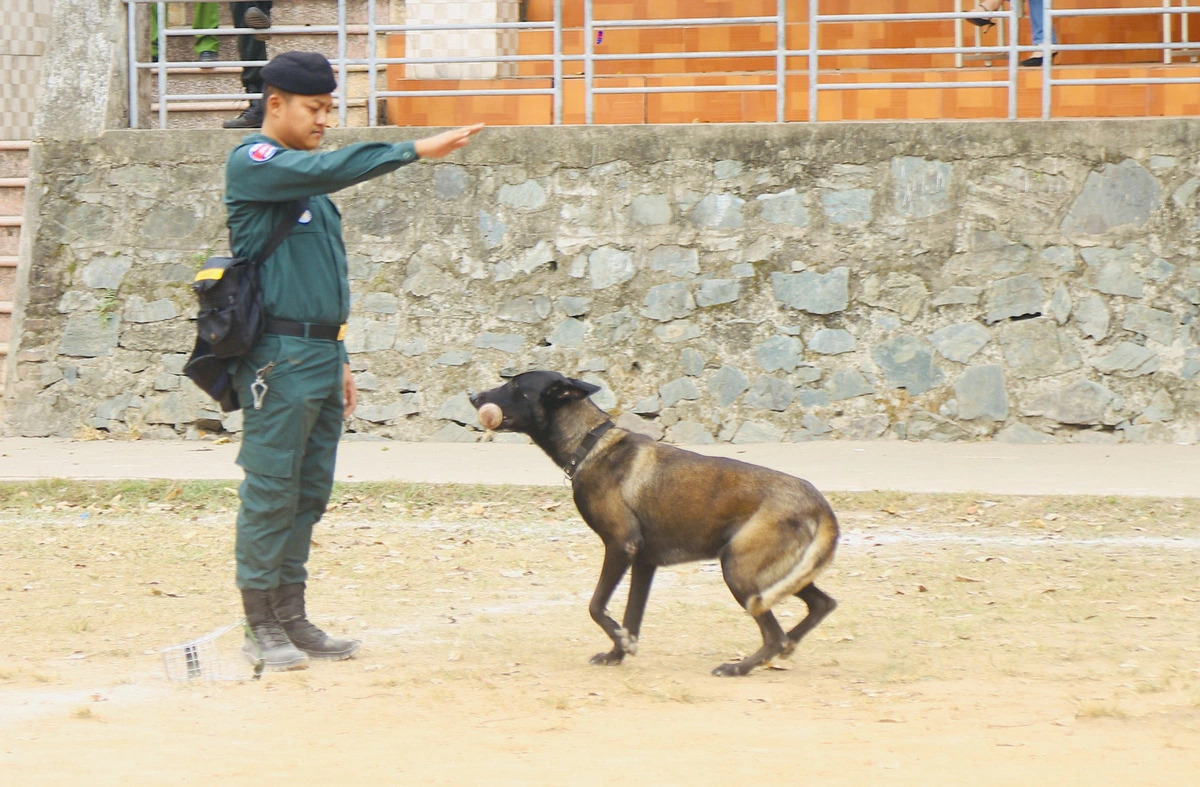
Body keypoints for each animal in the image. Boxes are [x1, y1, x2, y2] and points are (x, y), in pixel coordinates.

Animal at [463, 369, 840, 676]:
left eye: (515, 386)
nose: (473, 396)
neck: (590, 444)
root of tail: (818, 502)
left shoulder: (620, 547)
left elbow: (596, 606)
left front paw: (620, 643)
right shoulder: (644, 563)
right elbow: (631, 617)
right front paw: (617, 652)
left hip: (739, 570)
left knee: (775, 635)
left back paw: (741, 667)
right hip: (778, 572)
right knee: (820, 606)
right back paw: (784, 649)